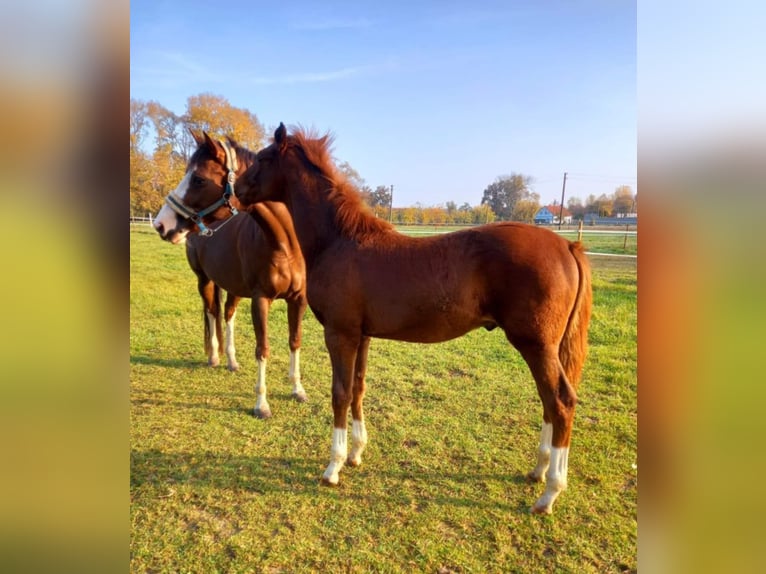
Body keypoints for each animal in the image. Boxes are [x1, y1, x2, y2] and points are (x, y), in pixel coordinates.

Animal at [153, 132, 308, 418]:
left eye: (198, 179)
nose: (161, 224)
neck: (286, 246)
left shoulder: (298, 299)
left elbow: (294, 341)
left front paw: (297, 390)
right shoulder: (261, 300)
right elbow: (263, 348)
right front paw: (262, 404)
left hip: (233, 286)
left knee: (227, 315)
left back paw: (232, 361)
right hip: (204, 281)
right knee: (212, 312)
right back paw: (214, 357)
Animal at [237, 125, 596, 512]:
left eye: (263, 158)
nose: (236, 189)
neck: (338, 240)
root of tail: (568, 246)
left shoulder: (340, 334)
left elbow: (340, 393)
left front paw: (333, 467)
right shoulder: (362, 335)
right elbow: (359, 388)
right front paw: (356, 454)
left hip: (536, 345)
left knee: (560, 402)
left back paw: (549, 492)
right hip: (546, 347)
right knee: (549, 401)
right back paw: (539, 471)